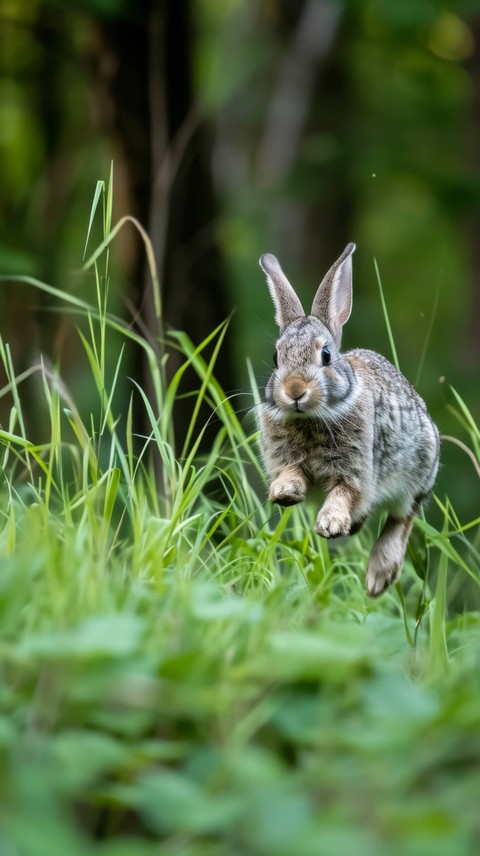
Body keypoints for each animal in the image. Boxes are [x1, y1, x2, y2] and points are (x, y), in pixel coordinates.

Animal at [258, 243, 440, 597]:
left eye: (326, 356)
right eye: (276, 358)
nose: (295, 390)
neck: (312, 418)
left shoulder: (356, 471)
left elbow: (345, 493)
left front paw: (330, 524)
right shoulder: (287, 458)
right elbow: (292, 473)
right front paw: (285, 493)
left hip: (419, 471)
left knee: (403, 518)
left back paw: (378, 577)